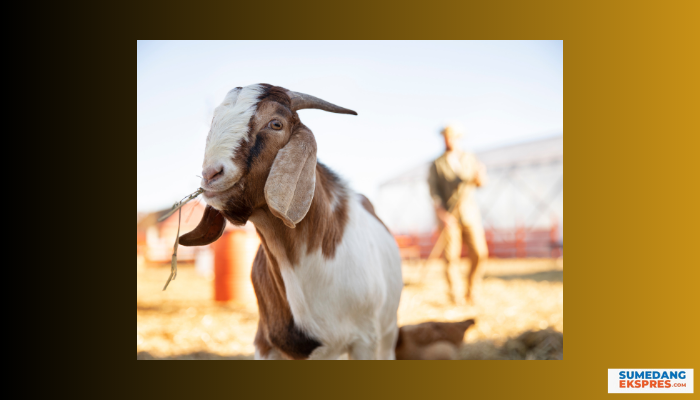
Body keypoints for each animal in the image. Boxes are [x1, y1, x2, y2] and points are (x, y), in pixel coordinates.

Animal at [178, 83, 402, 360]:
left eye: (276, 124)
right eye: (214, 121)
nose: (211, 174)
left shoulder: (365, 340)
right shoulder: (265, 343)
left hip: (388, 332)